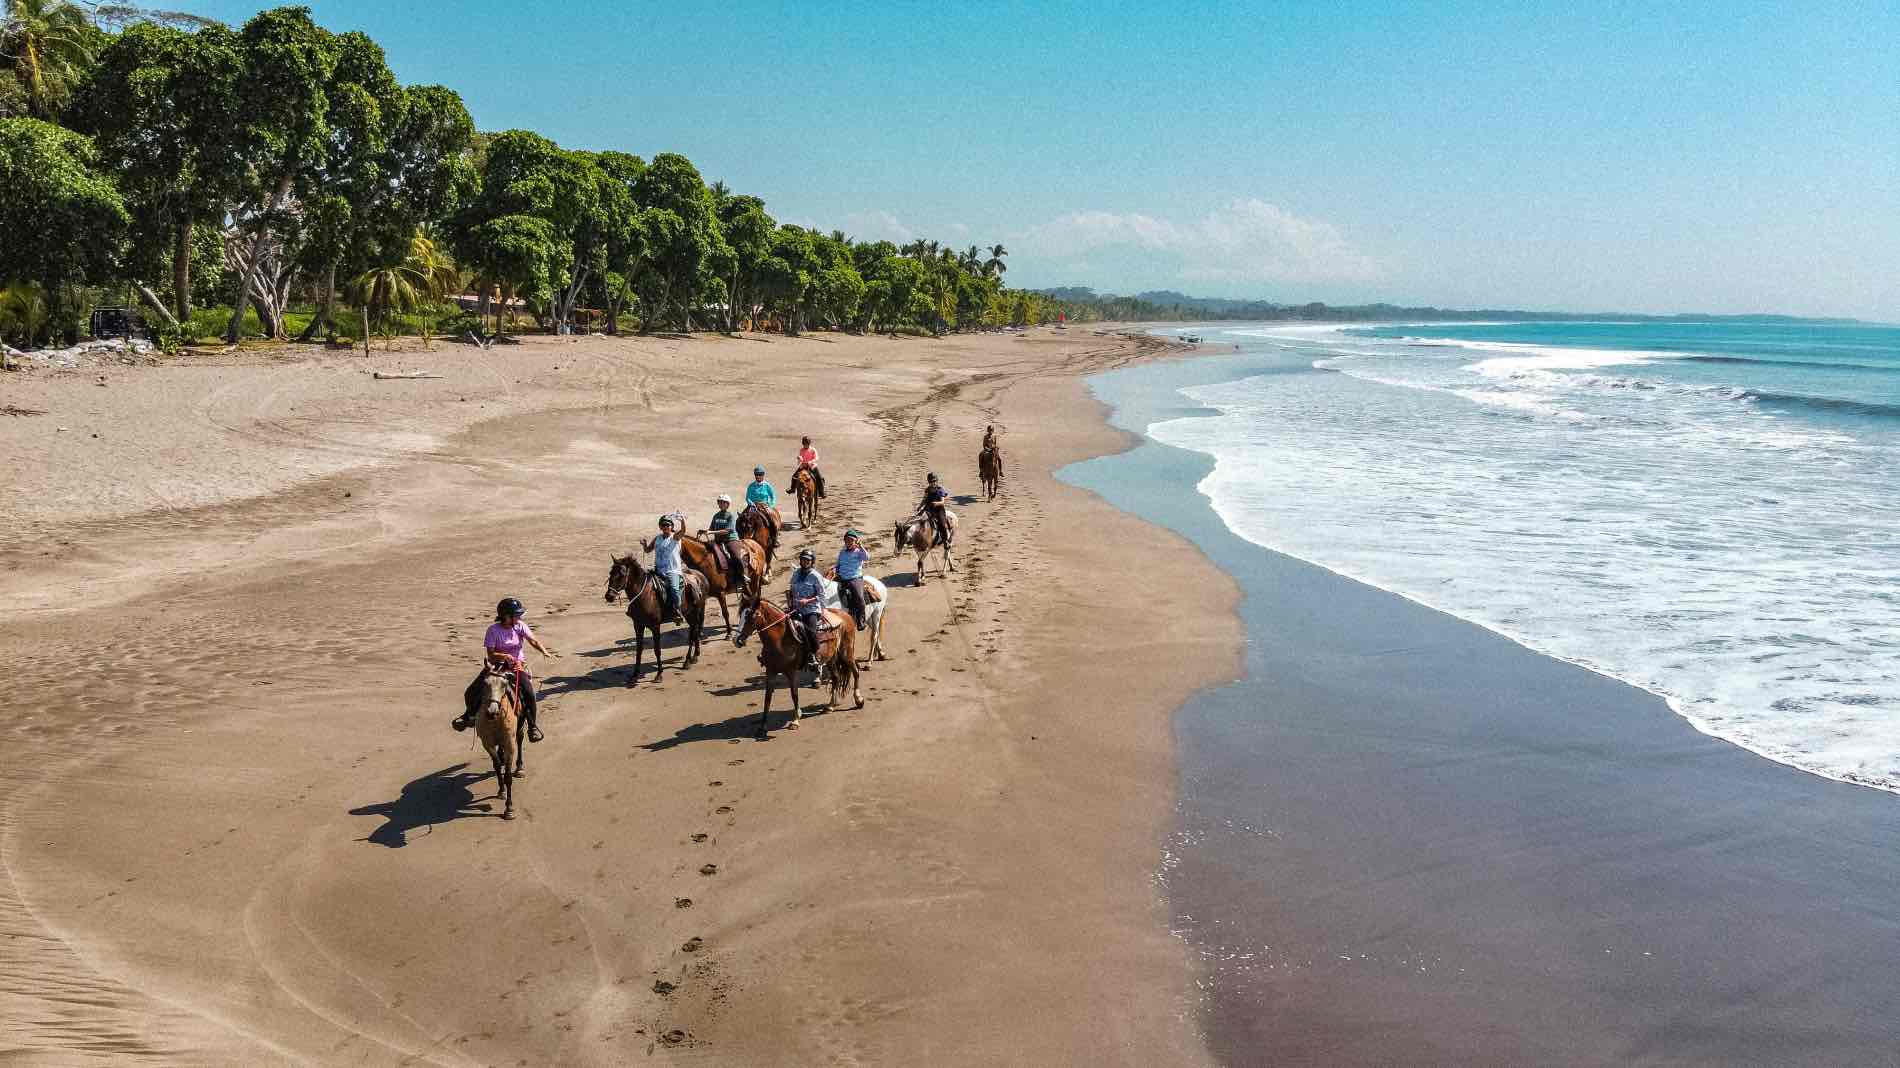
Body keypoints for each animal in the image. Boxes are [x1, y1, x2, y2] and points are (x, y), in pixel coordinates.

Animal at [475, 653, 528, 817]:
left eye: (504, 684)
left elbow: (508, 776)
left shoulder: (510, 744)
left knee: (520, 739)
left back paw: (520, 768)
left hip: (520, 726)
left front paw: (509, 808)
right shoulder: (488, 743)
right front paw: (501, 791)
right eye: (485, 683)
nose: (492, 711)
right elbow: (497, 766)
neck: (496, 720)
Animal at [604, 547, 710, 680]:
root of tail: (700, 577)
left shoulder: (655, 626)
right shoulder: (638, 625)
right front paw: (635, 674)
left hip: (694, 612)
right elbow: (639, 649)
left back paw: (687, 661)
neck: (644, 595)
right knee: (694, 632)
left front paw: (659, 673)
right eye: (610, 573)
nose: (609, 596)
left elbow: (657, 649)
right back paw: (694, 656)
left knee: (693, 634)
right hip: (689, 614)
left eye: (622, 574)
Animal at [733, 592, 870, 737]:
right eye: (741, 614)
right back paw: (830, 705)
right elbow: (767, 698)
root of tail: (845, 615)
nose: (737, 640)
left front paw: (795, 721)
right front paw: (762, 727)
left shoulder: (791, 671)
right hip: (831, 658)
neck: (780, 640)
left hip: (846, 653)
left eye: (751, 615)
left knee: (855, 671)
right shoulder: (770, 671)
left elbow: (794, 694)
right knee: (836, 678)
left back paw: (859, 700)